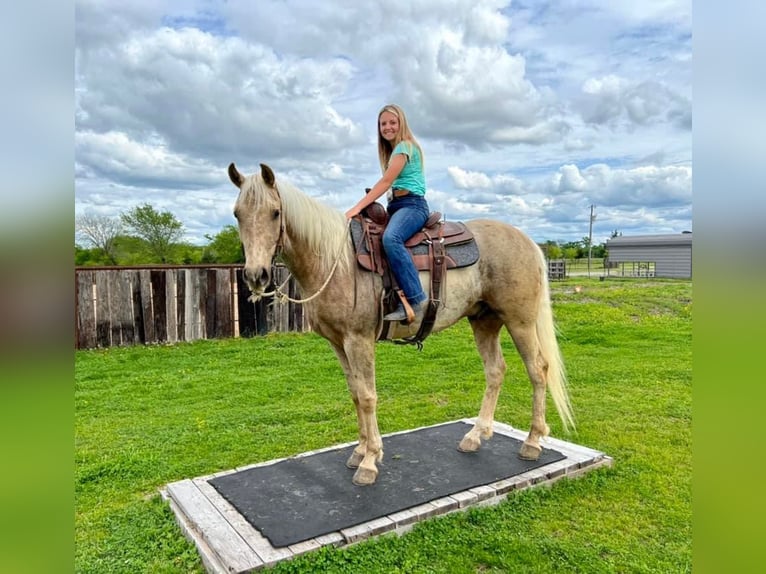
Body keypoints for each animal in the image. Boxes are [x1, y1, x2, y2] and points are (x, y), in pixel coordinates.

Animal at [228, 164, 576, 488]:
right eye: (237, 214)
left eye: (275, 213)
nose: (256, 275)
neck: (335, 262)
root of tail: (527, 241)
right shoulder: (338, 343)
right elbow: (355, 394)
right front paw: (360, 451)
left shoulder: (358, 340)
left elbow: (368, 396)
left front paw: (370, 461)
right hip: (484, 321)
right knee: (495, 371)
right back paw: (476, 436)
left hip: (520, 322)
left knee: (538, 370)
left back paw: (532, 441)